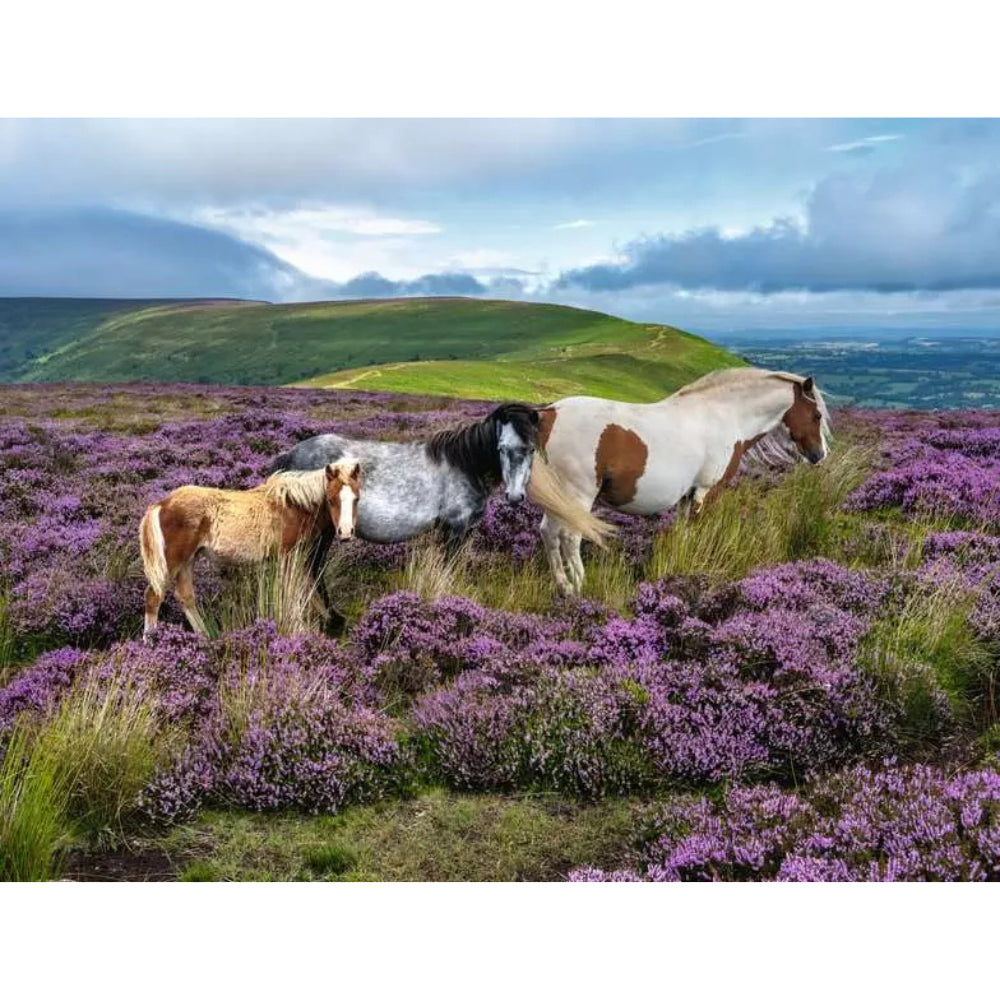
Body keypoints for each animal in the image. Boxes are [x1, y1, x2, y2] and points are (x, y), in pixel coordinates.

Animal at [139, 459, 362, 638]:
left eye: (356, 498)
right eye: (331, 499)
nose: (345, 532)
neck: (294, 505)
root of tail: (161, 504)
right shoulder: (288, 556)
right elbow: (293, 592)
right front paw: (298, 629)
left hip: (188, 560)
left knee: (185, 597)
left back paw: (204, 638)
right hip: (173, 561)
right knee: (153, 597)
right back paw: (150, 641)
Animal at [268, 402, 613, 590]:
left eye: (530, 449)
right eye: (501, 448)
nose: (515, 497)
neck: (464, 463)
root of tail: (291, 455)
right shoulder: (455, 528)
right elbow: (448, 569)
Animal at [531, 368, 832, 594]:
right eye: (816, 415)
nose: (820, 455)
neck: (725, 416)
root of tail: (550, 413)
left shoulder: (689, 495)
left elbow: (685, 533)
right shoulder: (707, 491)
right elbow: (699, 530)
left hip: (559, 499)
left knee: (548, 533)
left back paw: (564, 588)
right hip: (578, 496)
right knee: (570, 537)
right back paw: (580, 587)